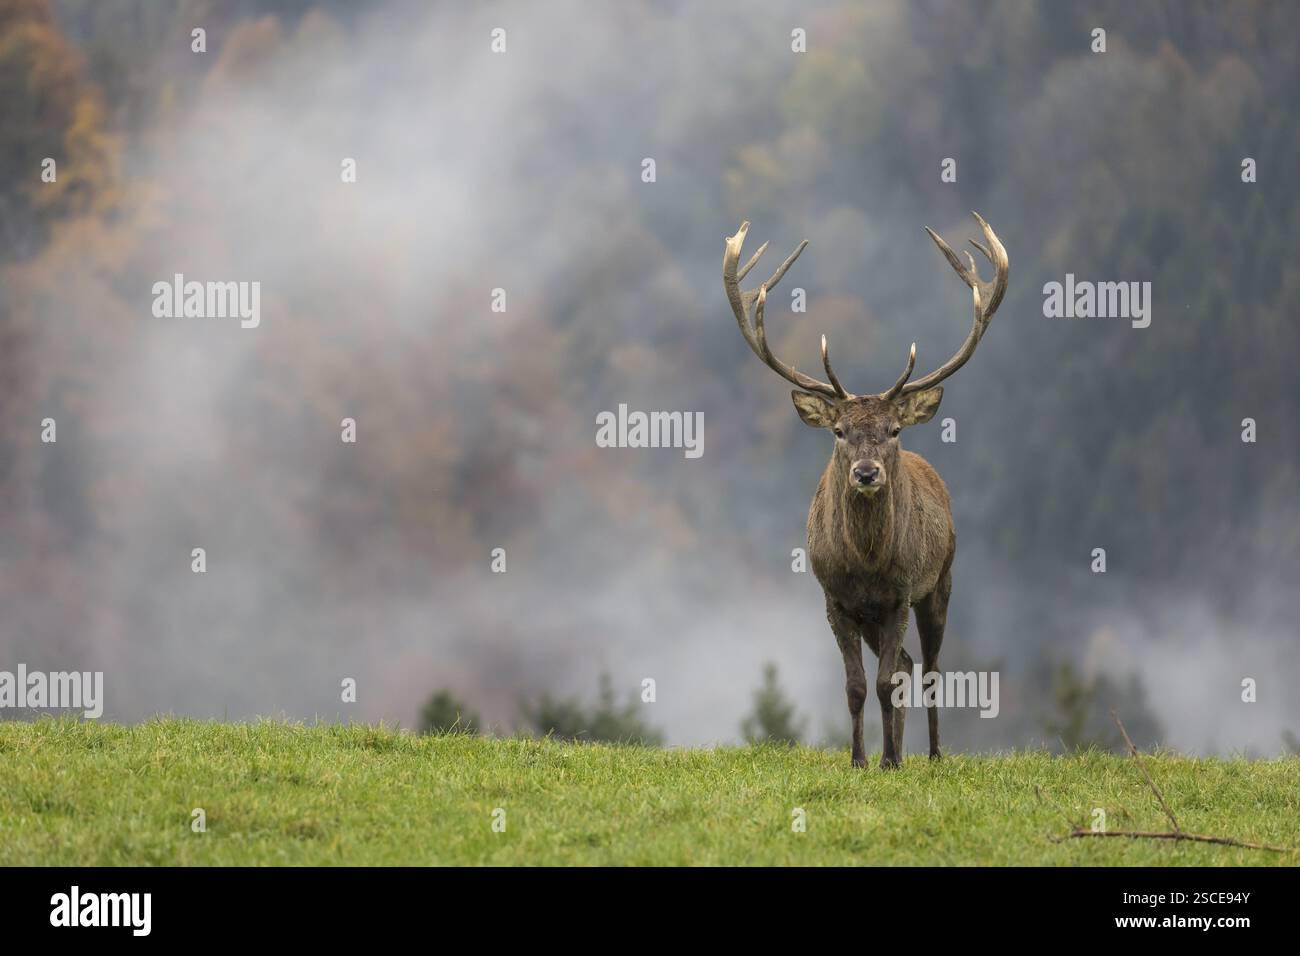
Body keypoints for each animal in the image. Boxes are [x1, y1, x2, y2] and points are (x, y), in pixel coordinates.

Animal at [722, 212, 1008, 769]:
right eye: (839, 430)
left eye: (893, 429)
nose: (868, 472)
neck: (868, 566)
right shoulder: (835, 598)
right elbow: (857, 686)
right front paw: (858, 759)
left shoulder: (900, 595)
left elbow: (882, 684)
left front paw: (891, 760)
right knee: (907, 663)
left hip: (941, 579)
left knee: (929, 668)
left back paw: (932, 754)